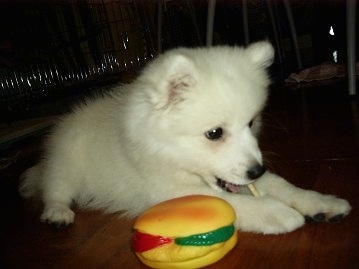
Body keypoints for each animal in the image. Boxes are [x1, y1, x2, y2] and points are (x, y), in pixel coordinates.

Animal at [19, 41, 352, 232]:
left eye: (251, 123)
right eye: (214, 133)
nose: (257, 170)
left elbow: (281, 184)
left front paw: (322, 203)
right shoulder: (169, 193)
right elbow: (230, 202)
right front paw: (276, 213)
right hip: (67, 164)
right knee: (55, 190)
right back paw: (58, 213)